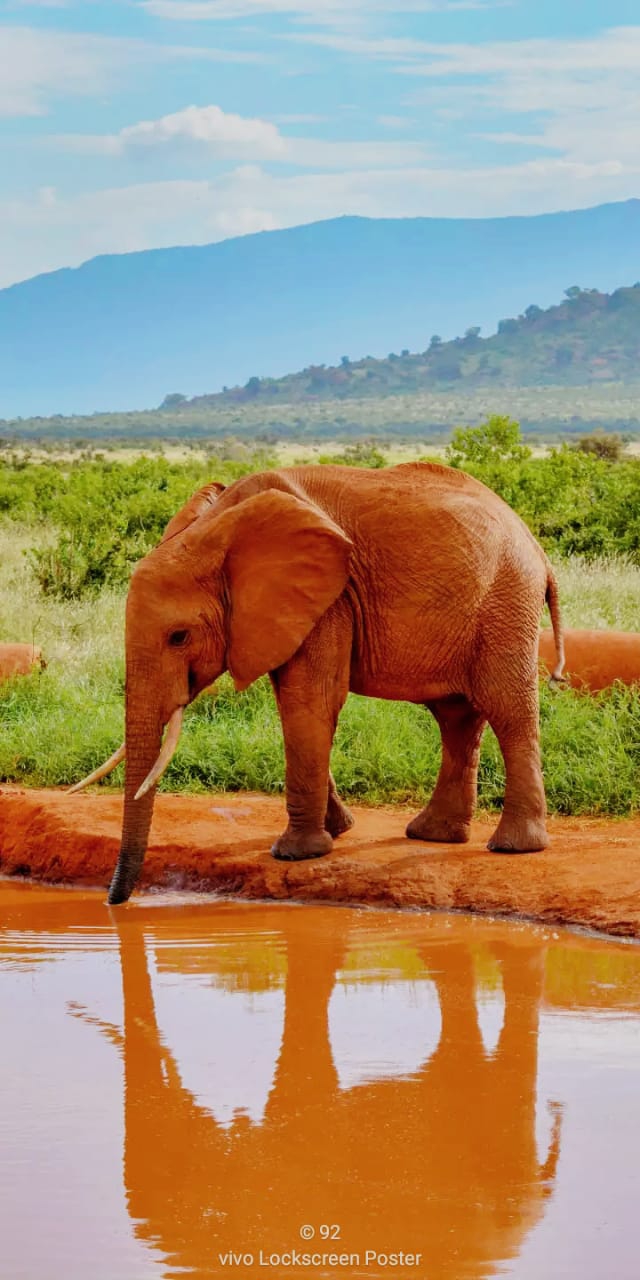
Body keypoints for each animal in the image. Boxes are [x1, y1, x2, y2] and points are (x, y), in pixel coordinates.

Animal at [71, 462, 565, 904]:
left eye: (179, 637)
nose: (115, 902)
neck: (216, 530)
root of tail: (537, 548)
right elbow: (299, 705)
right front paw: (337, 831)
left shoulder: (330, 600)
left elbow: (309, 701)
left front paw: (295, 854)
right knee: (456, 717)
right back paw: (434, 835)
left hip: (506, 601)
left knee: (506, 710)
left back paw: (512, 847)